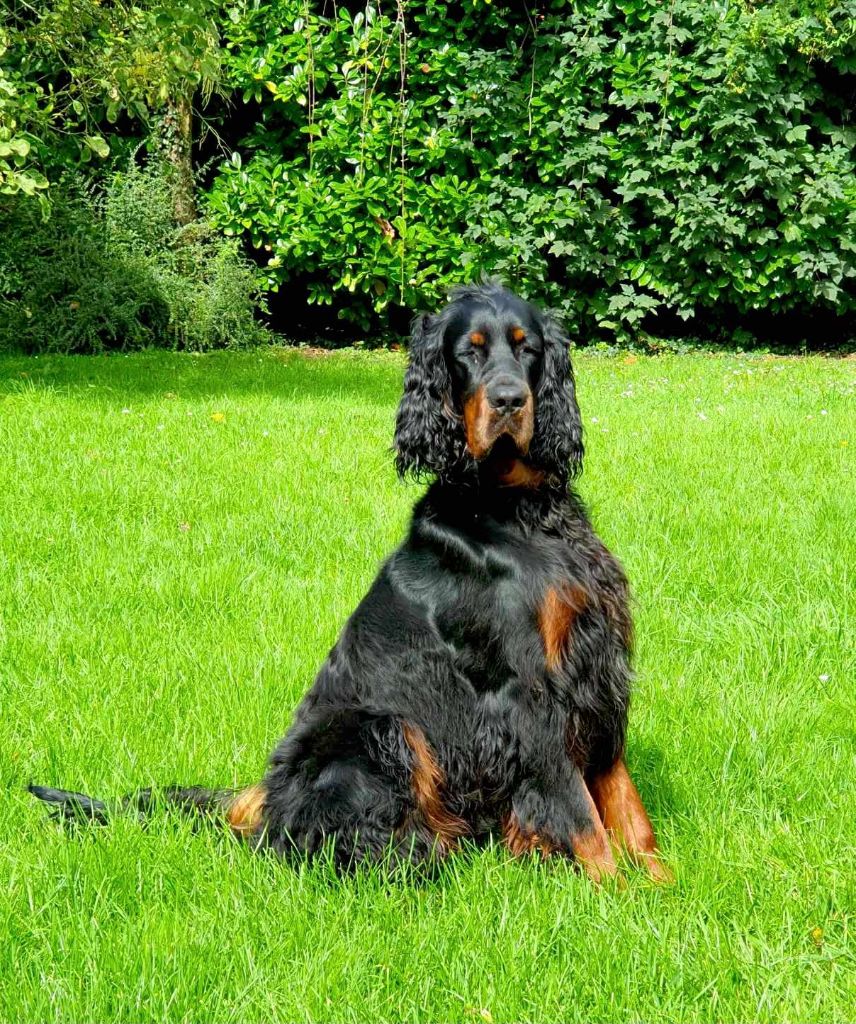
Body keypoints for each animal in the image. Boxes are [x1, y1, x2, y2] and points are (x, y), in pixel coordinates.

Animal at [31, 284, 667, 884]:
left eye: (526, 346)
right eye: (469, 353)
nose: (510, 400)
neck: (518, 509)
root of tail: (265, 799)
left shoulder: (595, 673)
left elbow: (625, 803)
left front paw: (660, 886)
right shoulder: (529, 691)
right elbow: (581, 813)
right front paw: (616, 894)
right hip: (378, 728)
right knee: (321, 845)